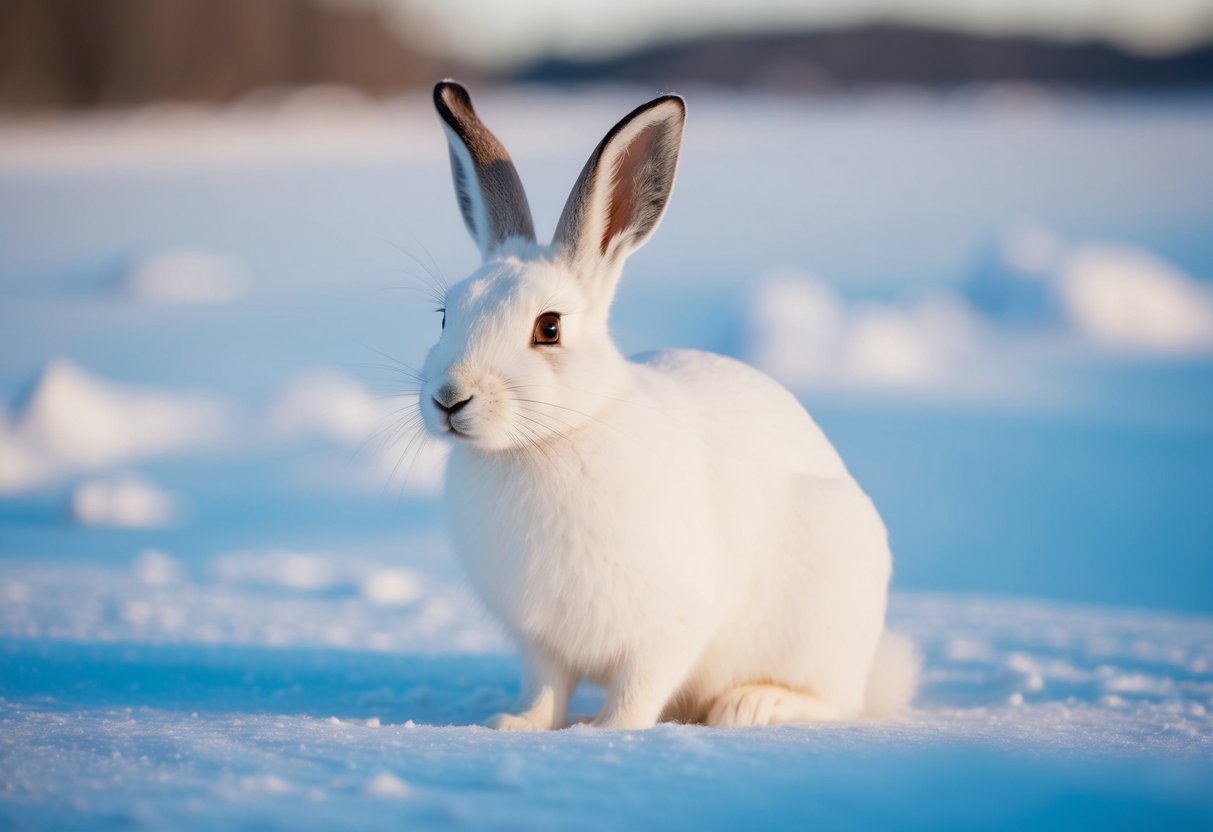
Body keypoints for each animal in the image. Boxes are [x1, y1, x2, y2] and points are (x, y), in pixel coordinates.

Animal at [419, 80, 919, 730]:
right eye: (445, 315)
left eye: (549, 328)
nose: (449, 398)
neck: (551, 439)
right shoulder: (540, 641)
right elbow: (546, 688)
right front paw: (518, 725)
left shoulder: (669, 629)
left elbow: (639, 688)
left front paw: (609, 731)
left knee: (837, 700)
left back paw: (754, 705)